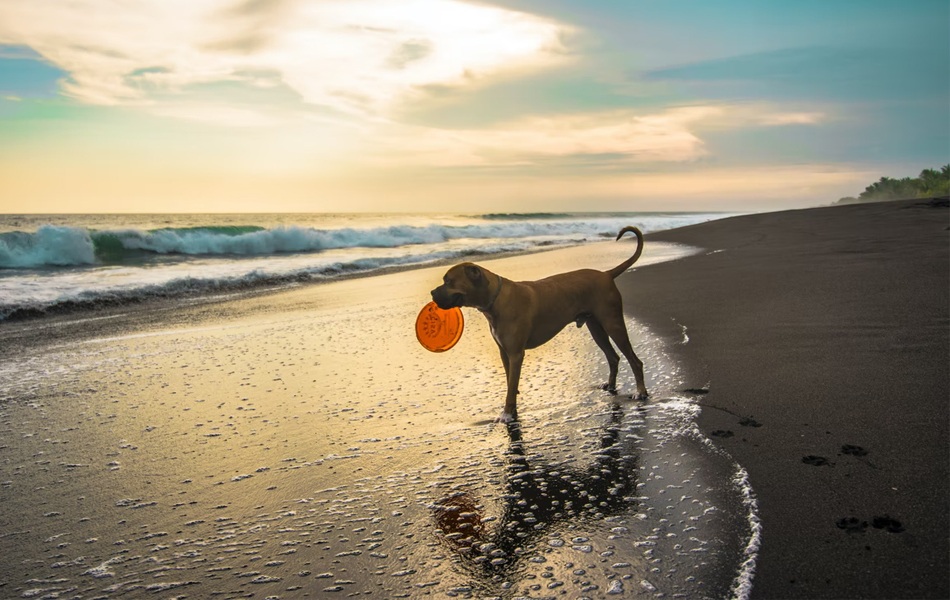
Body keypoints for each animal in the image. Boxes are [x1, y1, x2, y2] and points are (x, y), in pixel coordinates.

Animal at [434, 225, 652, 422]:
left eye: (449, 281)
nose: (432, 293)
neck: (495, 300)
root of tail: (606, 274)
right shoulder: (504, 353)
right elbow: (510, 383)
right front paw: (512, 409)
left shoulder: (516, 354)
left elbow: (511, 386)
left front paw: (507, 413)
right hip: (596, 327)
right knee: (613, 357)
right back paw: (611, 385)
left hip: (613, 323)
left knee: (635, 360)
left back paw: (641, 392)